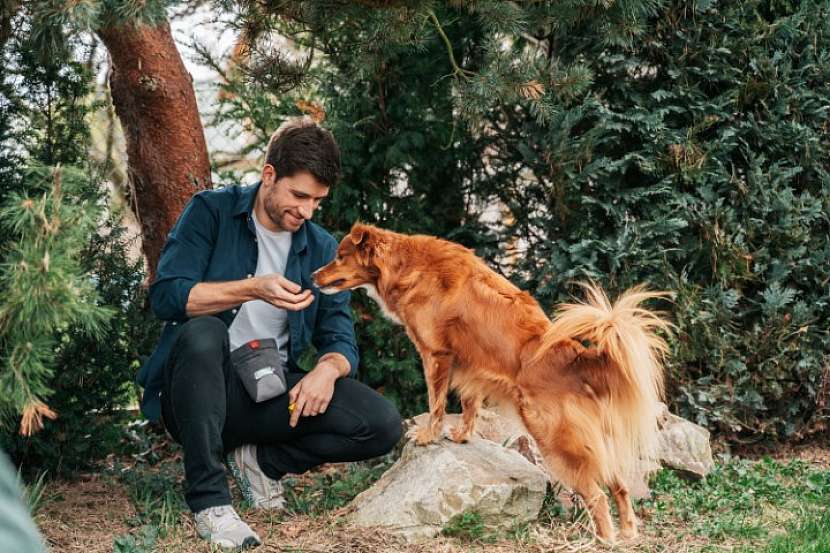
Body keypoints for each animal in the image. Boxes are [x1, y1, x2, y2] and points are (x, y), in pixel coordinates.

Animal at [310, 222, 668, 540]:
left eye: (340, 256)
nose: (312, 277)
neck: (408, 265)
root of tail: (578, 358)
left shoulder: (436, 354)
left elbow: (436, 402)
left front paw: (427, 436)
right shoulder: (471, 366)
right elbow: (469, 404)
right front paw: (462, 436)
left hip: (558, 442)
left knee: (597, 495)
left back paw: (604, 539)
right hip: (596, 444)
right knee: (620, 486)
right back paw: (628, 534)